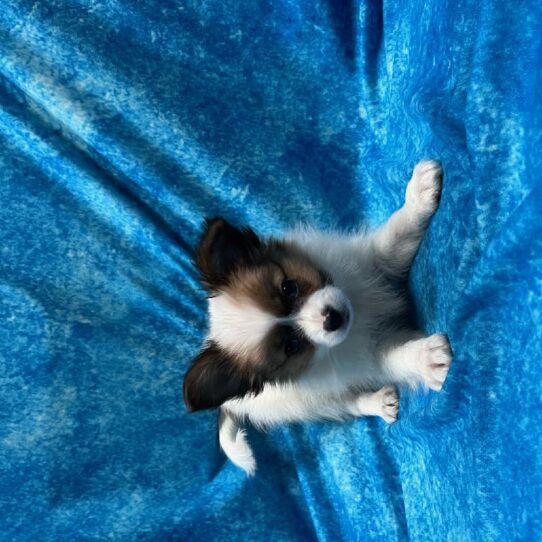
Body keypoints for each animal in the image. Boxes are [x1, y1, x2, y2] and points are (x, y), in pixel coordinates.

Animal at [185, 160, 452, 476]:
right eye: (291, 347)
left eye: (288, 287)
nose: (332, 319)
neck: (359, 310)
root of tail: (231, 404)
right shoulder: (367, 358)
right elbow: (395, 359)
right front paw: (428, 359)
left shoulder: (370, 262)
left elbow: (396, 235)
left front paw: (420, 194)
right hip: (307, 403)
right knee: (344, 404)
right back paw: (377, 403)